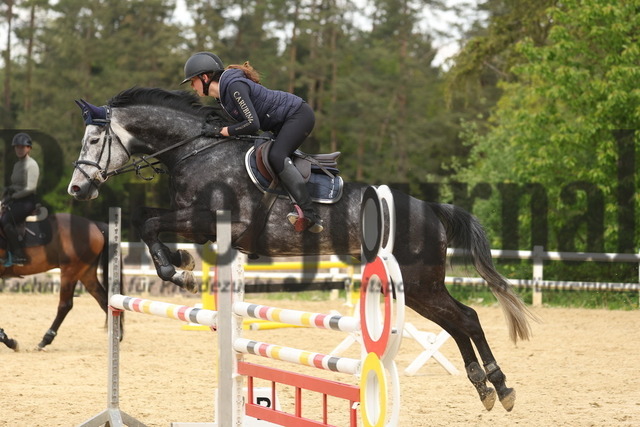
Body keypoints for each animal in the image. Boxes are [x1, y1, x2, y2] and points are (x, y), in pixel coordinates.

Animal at [67, 86, 536, 412]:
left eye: (93, 142)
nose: (77, 189)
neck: (195, 149)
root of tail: (431, 210)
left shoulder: (208, 221)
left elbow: (149, 222)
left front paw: (177, 271)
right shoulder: (196, 223)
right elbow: (146, 221)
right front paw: (179, 263)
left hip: (419, 282)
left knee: (466, 318)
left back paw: (502, 386)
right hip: (417, 288)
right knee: (457, 322)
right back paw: (486, 388)